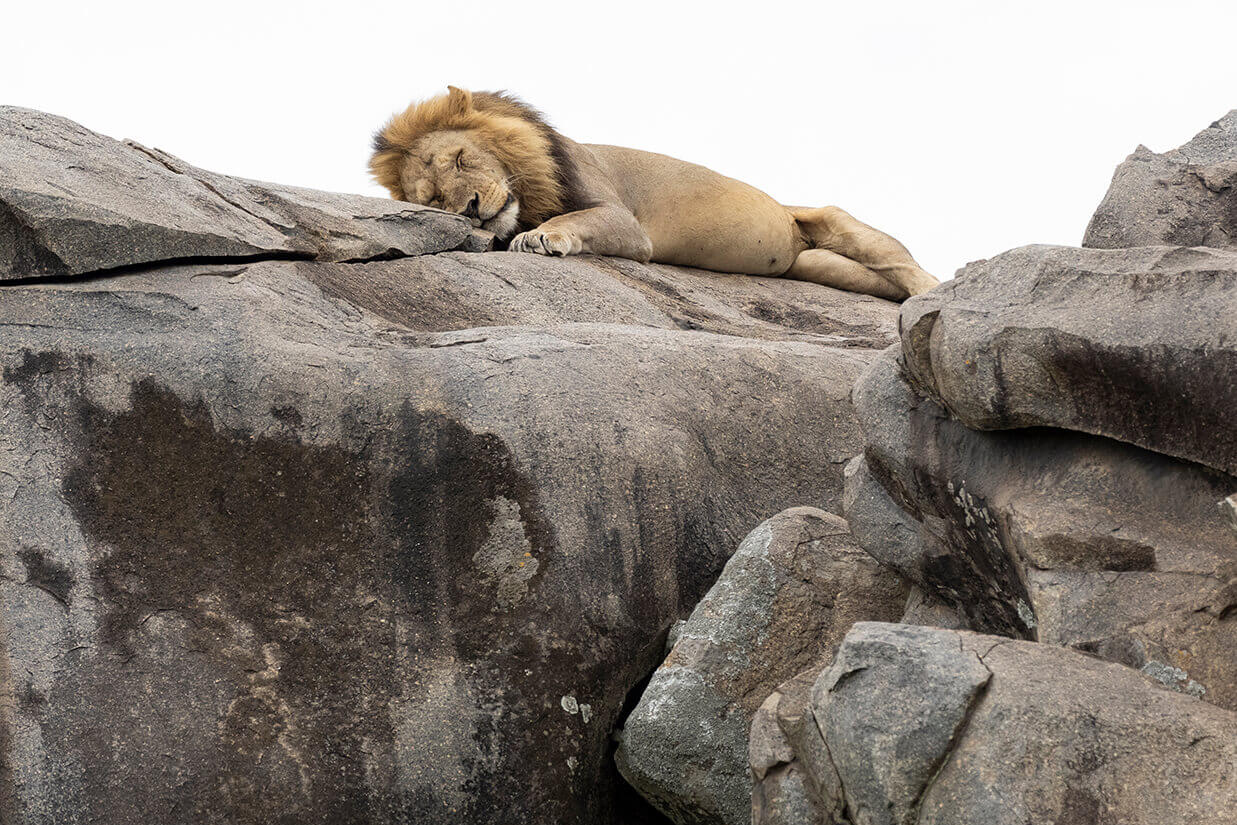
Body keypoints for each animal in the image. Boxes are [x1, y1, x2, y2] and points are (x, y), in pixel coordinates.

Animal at [369, 86, 938, 300]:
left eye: (462, 159)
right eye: (434, 201)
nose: (470, 209)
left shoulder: (624, 220)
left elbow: (572, 222)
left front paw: (540, 238)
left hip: (833, 220)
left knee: (904, 265)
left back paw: (933, 296)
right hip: (814, 265)